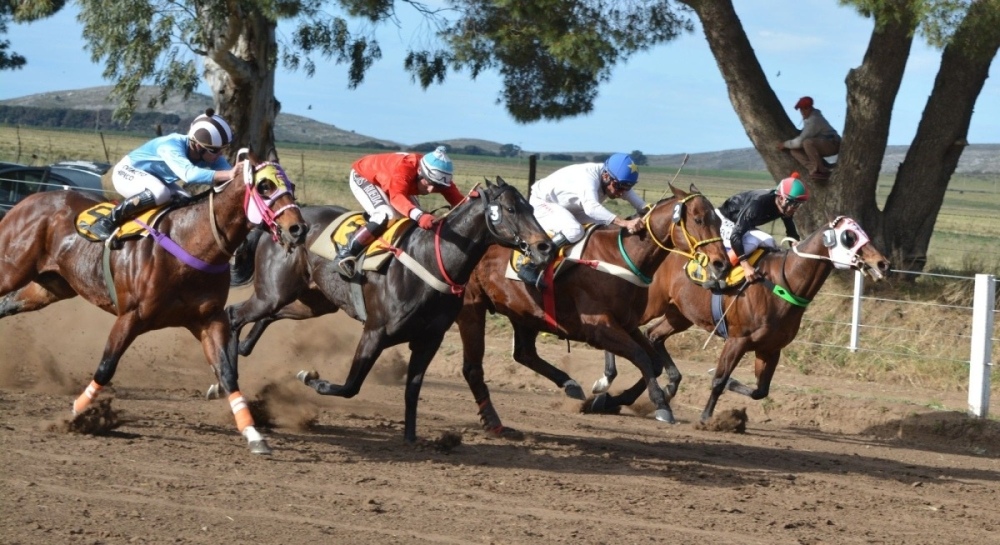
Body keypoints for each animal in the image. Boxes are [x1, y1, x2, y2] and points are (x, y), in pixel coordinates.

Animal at [0, 151, 308, 452]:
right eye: (265, 186)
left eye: (291, 186)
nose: (298, 229)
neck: (190, 242)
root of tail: (29, 200)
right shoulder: (130, 316)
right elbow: (106, 367)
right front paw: (77, 413)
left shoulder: (208, 320)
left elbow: (227, 373)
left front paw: (253, 434)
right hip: (12, 269)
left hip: (50, 287)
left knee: (6, 306)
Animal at [221, 175, 556, 442]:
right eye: (511, 209)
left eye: (531, 208)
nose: (545, 247)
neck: (430, 260)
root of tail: (279, 224)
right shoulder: (375, 332)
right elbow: (350, 386)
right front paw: (310, 378)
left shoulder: (428, 340)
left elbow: (412, 391)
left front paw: (410, 437)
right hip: (275, 291)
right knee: (234, 314)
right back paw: (228, 376)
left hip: (312, 301)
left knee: (267, 315)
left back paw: (243, 352)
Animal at [458, 181, 732, 436]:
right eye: (698, 219)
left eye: (719, 220)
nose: (721, 264)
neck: (620, 257)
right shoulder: (598, 327)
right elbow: (641, 357)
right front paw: (659, 405)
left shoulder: (627, 323)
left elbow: (652, 362)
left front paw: (610, 400)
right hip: (478, 304)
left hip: (524, 313)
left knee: (524, 353)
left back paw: (570, 384)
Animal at [592, 215, 892, 422]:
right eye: (850, 236)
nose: (882, 263)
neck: (784, 283)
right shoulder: (737, 340)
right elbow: (718, 380)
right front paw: (706, 417)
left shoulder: (770, 349)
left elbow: (761, 390)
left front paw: (731, 386)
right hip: (651, 305)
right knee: (623, 328)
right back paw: (606, 381)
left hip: (679, 315)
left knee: (654, 337)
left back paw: (647, 392)